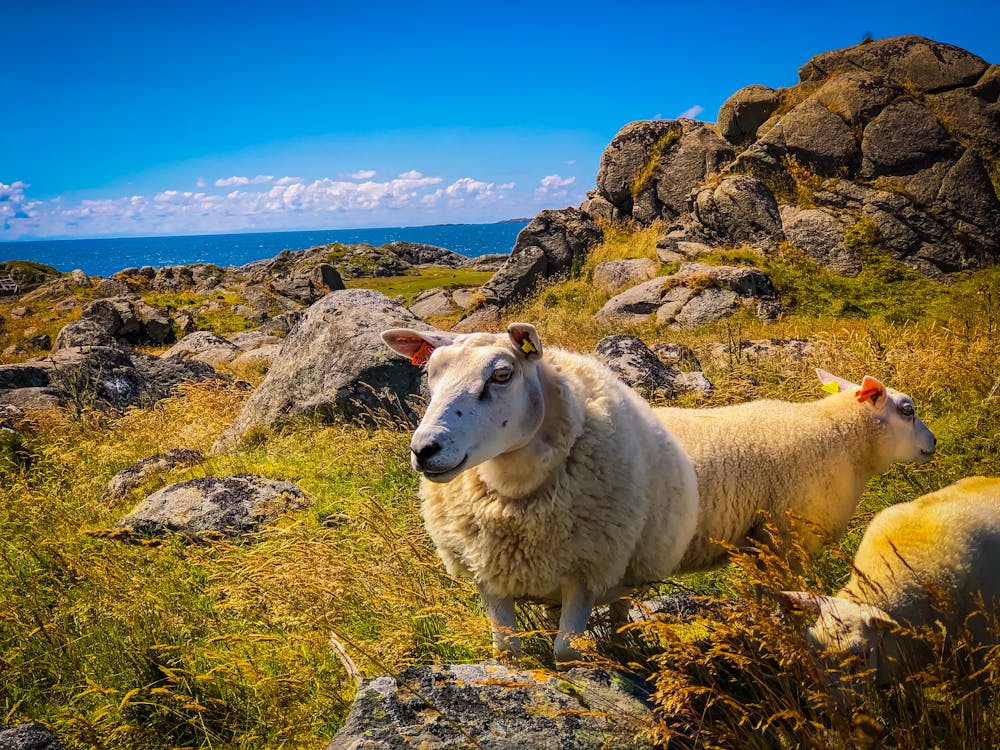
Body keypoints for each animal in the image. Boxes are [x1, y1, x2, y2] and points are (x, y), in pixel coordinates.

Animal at [378, 324, 700, 664]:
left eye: (502, 375)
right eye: (431, 374)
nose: (424, 450)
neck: (514, 488)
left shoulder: (586, 570)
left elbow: (566, 651)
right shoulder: (487, 570)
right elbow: (506, 650)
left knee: (619, 612)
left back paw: (620, 645)